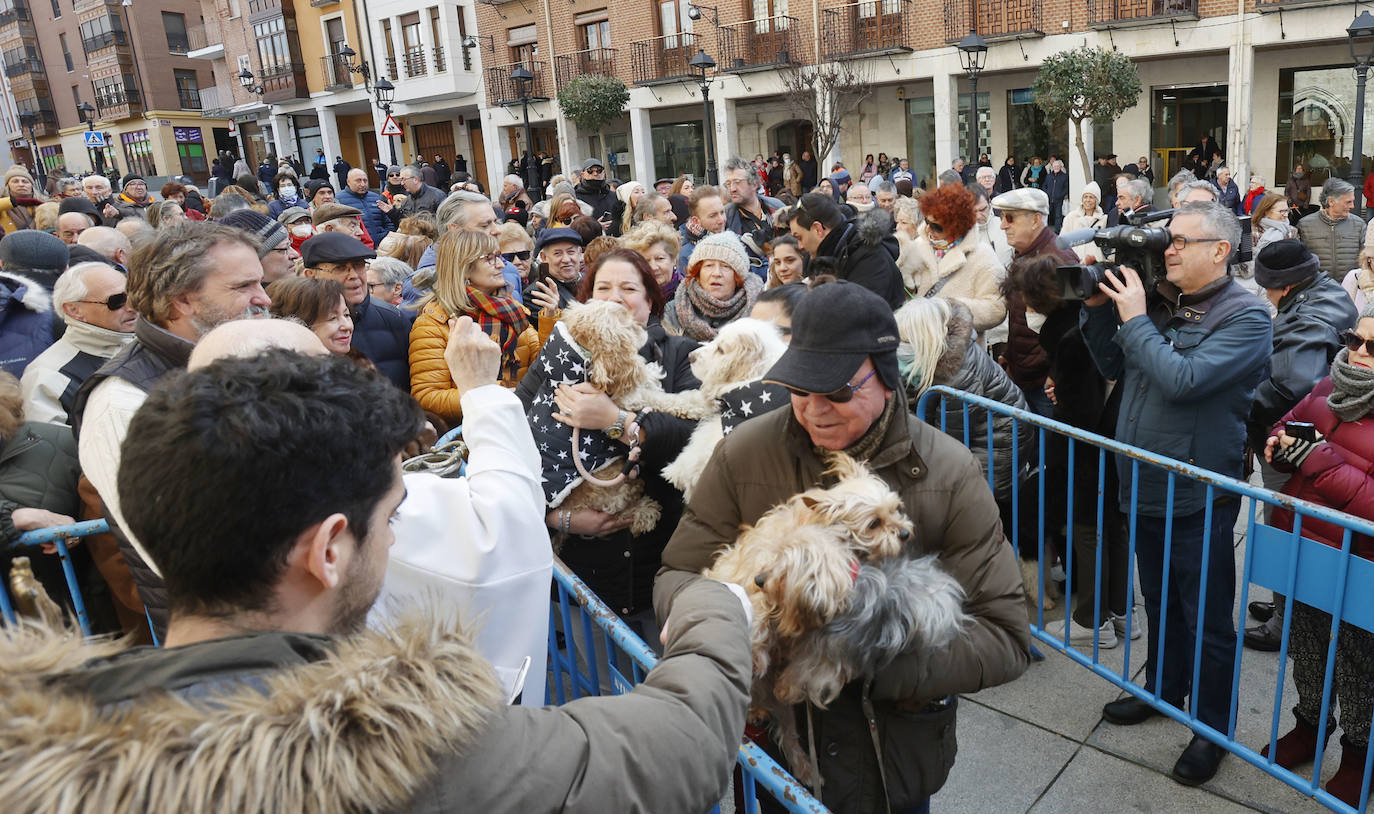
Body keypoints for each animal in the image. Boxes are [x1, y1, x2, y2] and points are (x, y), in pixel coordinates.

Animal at [703, 453, 972, 786]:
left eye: (897, 509)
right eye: (874, 523)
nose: (905, 533)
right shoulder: (759, 576)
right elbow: (761, 613)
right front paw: (758, 649)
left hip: (785, 710)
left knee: (789, 735)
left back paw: (804, 767)